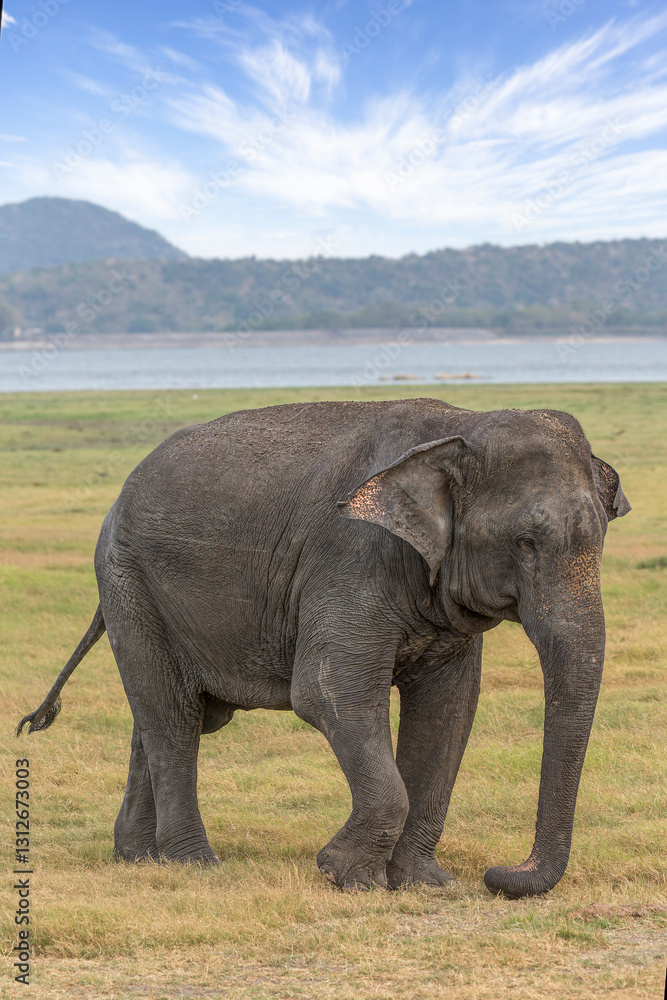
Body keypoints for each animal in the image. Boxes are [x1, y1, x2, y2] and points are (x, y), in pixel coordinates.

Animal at [17, 397, 630, 899]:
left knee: (169, 716)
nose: (499, 874)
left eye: (602, 539)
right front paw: (347, 877)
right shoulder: (351, 557)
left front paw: (425, 885)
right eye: (525, 543)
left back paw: (138, 857)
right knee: (171, 715)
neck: (459, 427)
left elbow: (449, 710)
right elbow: (329, 693)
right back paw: (194, 865)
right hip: (129, 583)